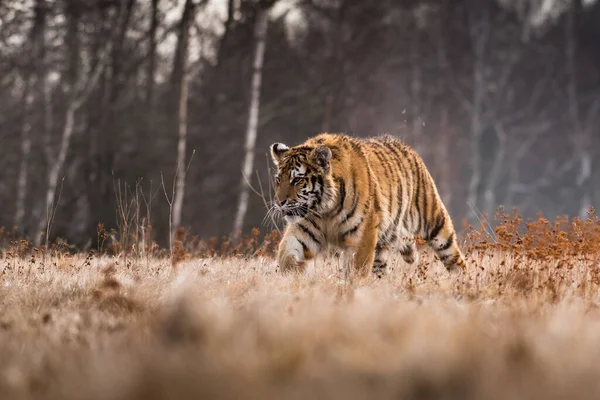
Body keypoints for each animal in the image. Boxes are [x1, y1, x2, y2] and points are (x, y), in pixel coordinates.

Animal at [268, 133, 468, 276]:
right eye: (278, 180)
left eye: (297, 180)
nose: (279, 202)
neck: (325, 209)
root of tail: (410, 149)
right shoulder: (305, 229)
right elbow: (286, 253)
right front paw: (295, 274)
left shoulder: (363, 234)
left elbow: (358, 268)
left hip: (436, 224)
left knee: (455, 258)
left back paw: (461, 282)